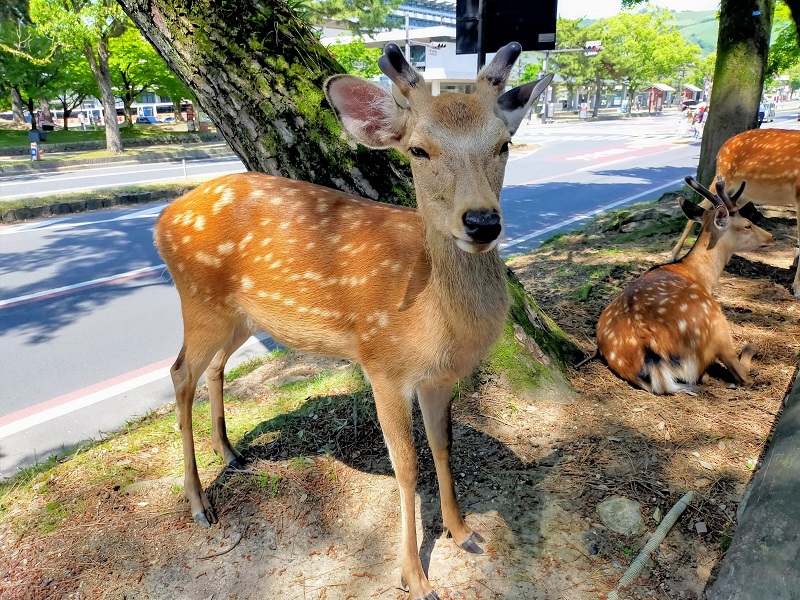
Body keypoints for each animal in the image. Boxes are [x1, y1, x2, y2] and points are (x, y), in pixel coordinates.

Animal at [153, 43, 552, 600]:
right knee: (179, 372)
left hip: (242, 317)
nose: (482, 222)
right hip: (199, 299)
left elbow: (443, 446)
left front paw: (463, 532)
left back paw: (231, 452)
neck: (438, 322)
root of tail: (161, 219)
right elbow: (406, 467)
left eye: (504, 144)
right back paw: (198, 502)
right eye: (419, 151)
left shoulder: (437, 378)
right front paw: (414, 576)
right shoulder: (383, 363)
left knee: (212, 368)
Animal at [596, 176, 772, 396]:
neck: (698, 275)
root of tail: (652, 355)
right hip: (716, 323)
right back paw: (749, 349)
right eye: (747, 225)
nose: (771, 237)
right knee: (740, 374)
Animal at [672, 128, 796, 296]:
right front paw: (797, 288)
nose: (772, 237)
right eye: (747, 225)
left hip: (741, 193)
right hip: (724, 177)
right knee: (701, 204)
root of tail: (723, 146)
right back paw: (674, 254)